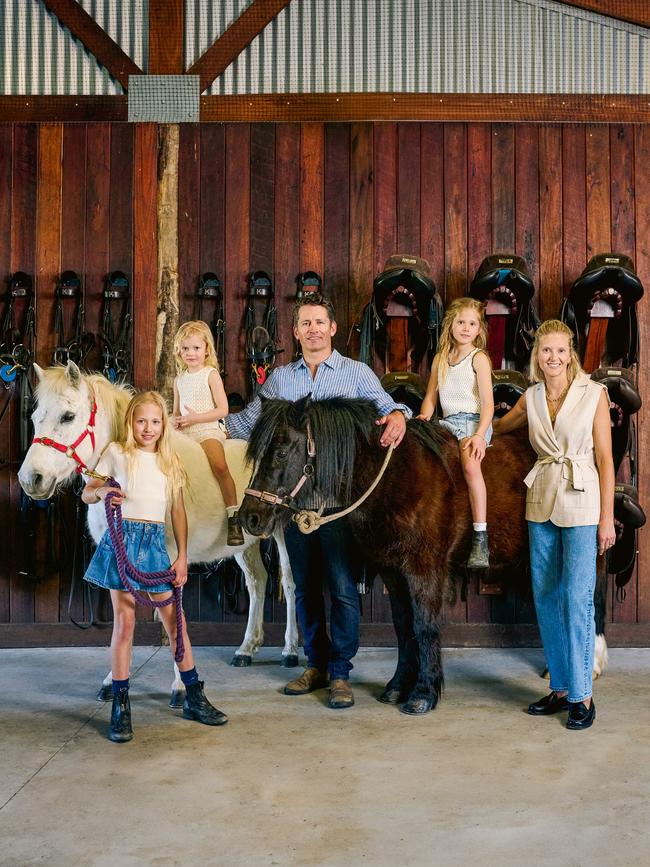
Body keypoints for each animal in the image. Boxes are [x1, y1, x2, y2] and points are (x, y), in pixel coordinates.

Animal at [17, 362, 296, 704]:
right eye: (34, 417)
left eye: (68, 416)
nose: (31, 479)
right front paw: (112, 681)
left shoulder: (173, 559)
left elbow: (174, 614)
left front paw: (181, 687)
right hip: (245, 543)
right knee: (257, 582)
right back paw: (246, 648)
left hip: (283, 534)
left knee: (288, 582)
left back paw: (290, 650)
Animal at [238, 396, 532, 716]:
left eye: (280, 453)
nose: (249, 517)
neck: (397, 476)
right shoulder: (392, 571)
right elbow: (403, 628)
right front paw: (398, 686)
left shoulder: (424, 569)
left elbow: (424, 626)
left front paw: (423, 693)